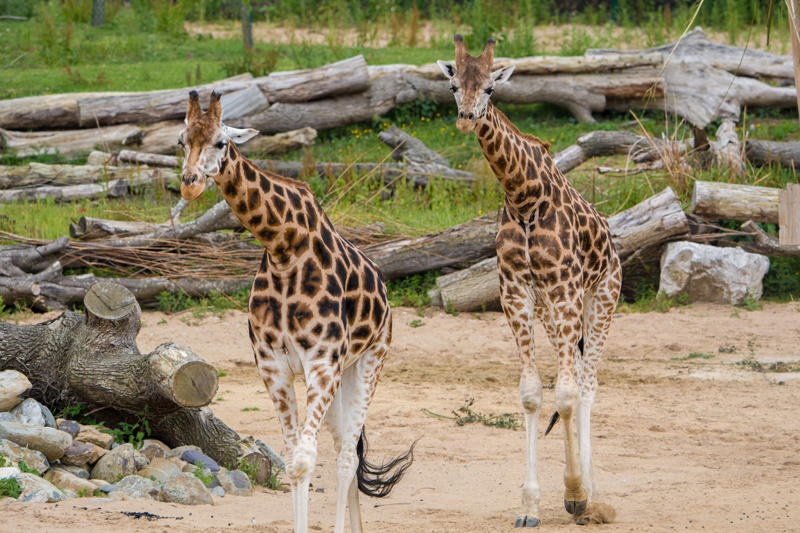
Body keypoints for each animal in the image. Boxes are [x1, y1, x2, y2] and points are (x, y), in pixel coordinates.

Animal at [178, 90, 414, 533]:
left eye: (221, 141)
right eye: (182, 140)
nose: (190, 184)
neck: (284, 247)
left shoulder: (321, 362)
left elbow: (305, 460)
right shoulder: (273, 365)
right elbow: (291, 461)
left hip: (370, 360)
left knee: (346, 456)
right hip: (343, 374)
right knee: (343, 446)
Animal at [438, 36, 622, 527]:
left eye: (490, 88)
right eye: (453, 86)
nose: (466, 119)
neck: (522, 197)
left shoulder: (565, 290)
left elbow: (567, 393)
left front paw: (577, 495)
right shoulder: (516, 293)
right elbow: (533, 394)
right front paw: (531, 505)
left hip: (601, 298)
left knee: (588, 384)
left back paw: (594, 496)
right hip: (553, 312)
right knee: (574, 377)